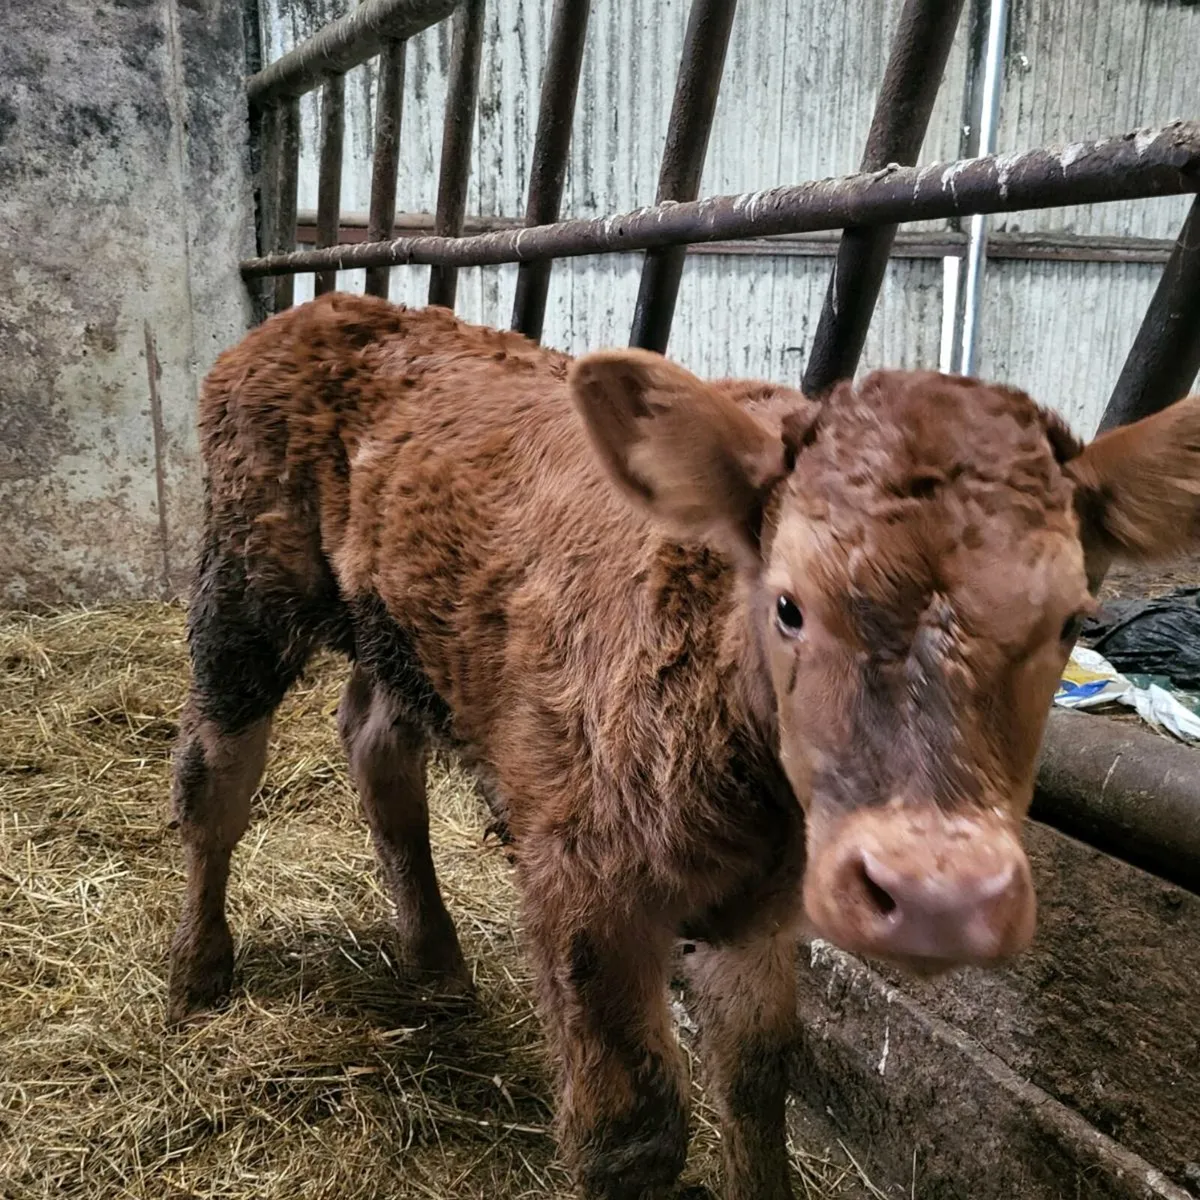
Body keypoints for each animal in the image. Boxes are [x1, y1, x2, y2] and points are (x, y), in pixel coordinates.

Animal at [167, 291, 1200, 1200]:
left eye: (1073, 620)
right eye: (788, 604)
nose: (937, 895)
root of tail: (322, 308)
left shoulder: (761, 917)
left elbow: (756, 1085)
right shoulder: (585, 891)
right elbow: (632, 1136)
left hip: (403, 639)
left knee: (378, 749)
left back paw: (437, 964)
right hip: (245, 590)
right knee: (214, 779)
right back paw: (198, 973)